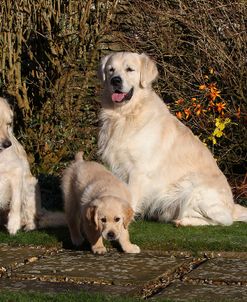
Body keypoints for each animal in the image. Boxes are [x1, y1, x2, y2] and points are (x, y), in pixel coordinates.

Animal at [97, 52, 246, 226]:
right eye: (111, 70)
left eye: (130, 69)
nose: (115, 80)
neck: (124, 115)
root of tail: (233, 206)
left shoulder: (138, 170)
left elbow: (131, 200)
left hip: (192, 188)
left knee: (221, 221)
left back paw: (184, 221)